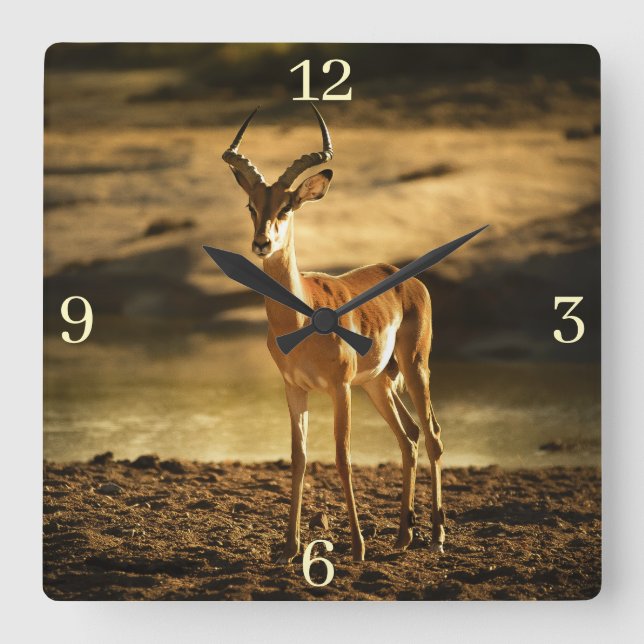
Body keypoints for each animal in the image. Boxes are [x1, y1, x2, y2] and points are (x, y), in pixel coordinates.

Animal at [221, 105, 445, 562]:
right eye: (252, 205)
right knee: (409, 437)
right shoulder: (294, 389)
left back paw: (435, 536)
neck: (299, 321)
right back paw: (403, 536)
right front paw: (289, 547)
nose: (261, 243)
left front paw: (357, 546)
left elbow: (341, 457)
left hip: (414, 367)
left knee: (432, 434)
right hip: (378, 383)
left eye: (287, 207)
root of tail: (406, 277)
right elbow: (299, 457)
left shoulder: (339, 389)